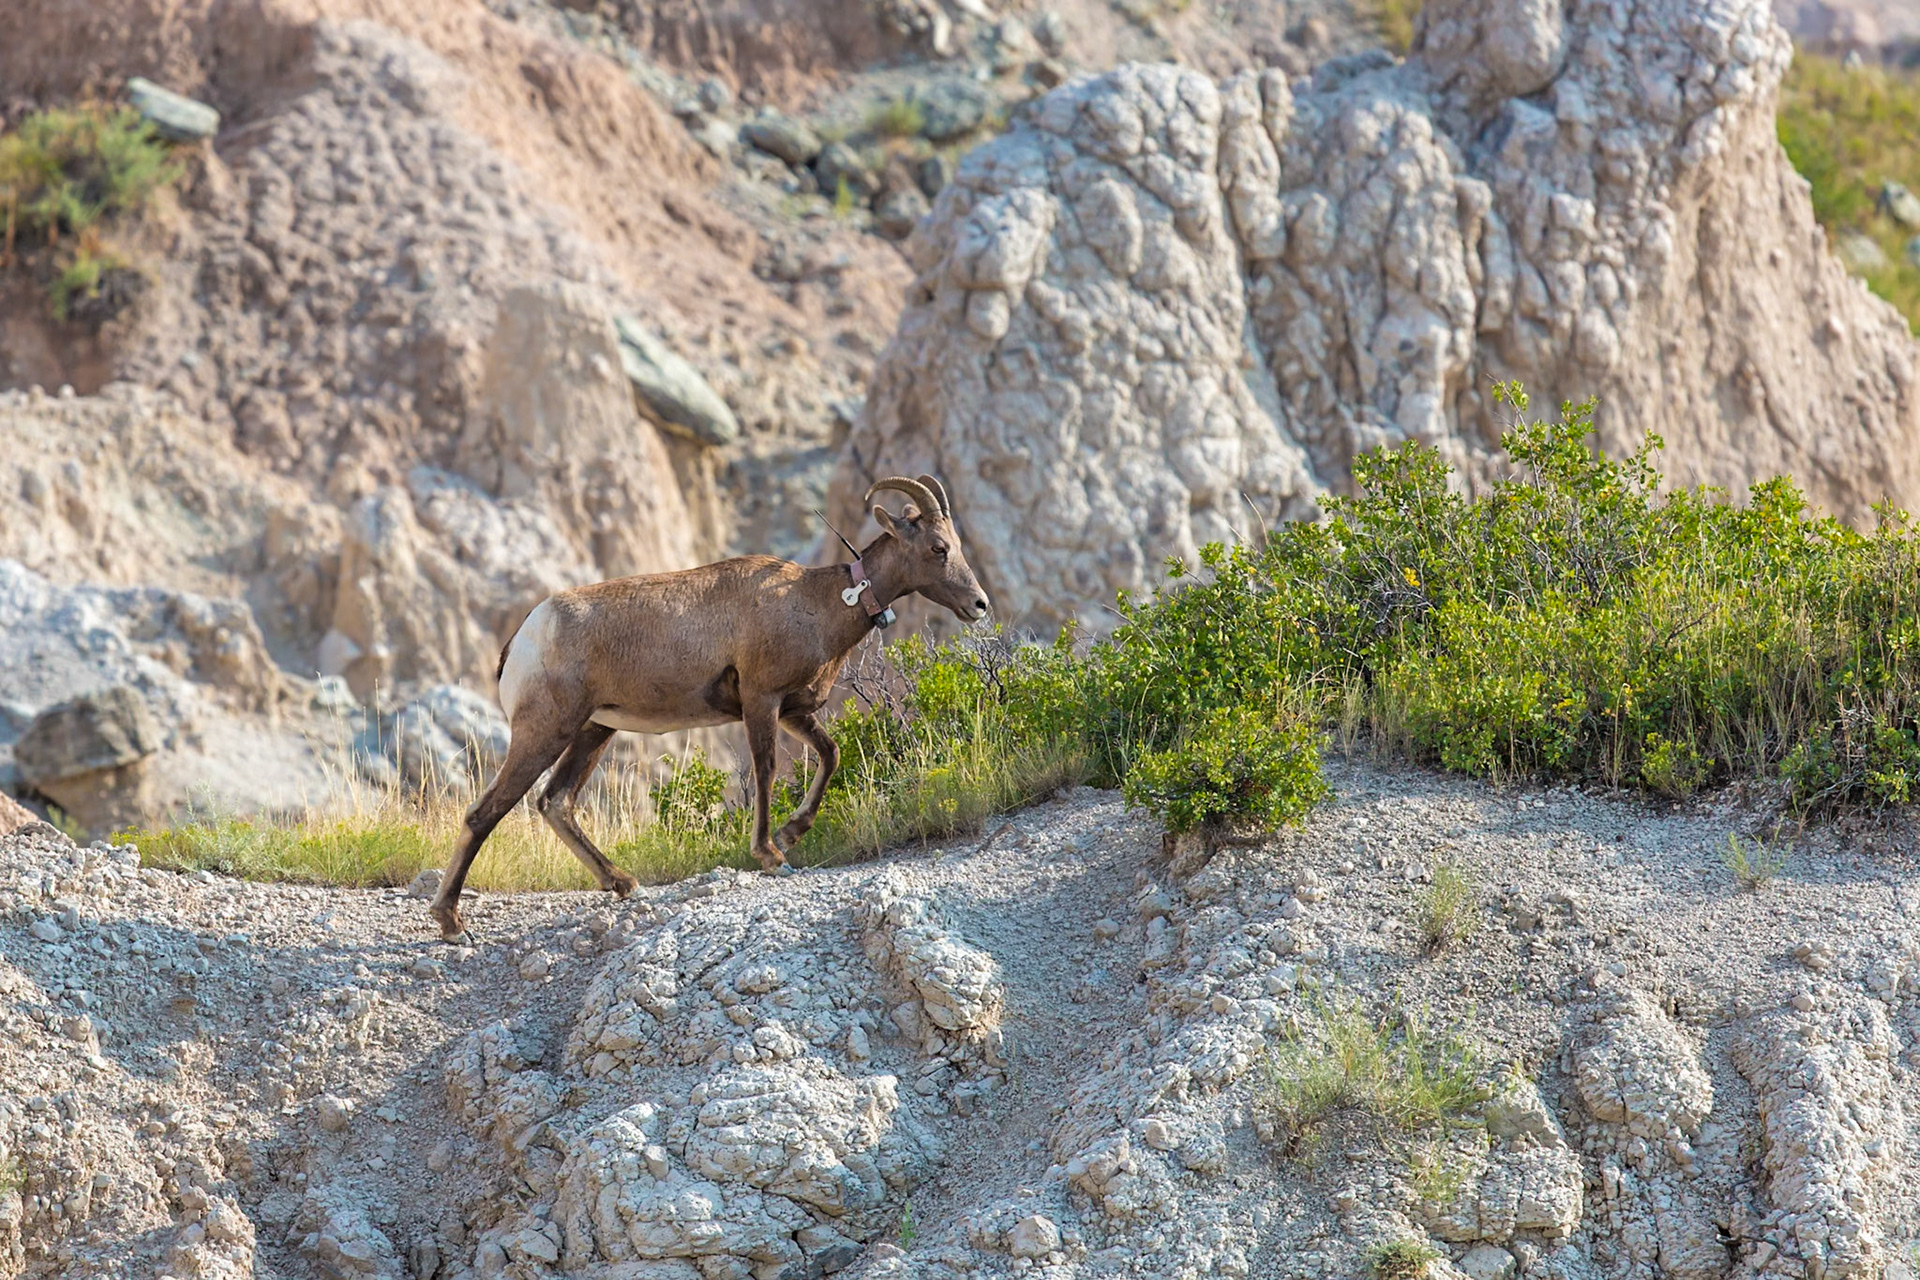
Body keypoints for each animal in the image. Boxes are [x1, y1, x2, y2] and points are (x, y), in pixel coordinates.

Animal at [428, 475, 988, 941]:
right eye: (938, 548)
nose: (980, 605)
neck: (820, 602)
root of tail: (525, 636)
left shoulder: (794, 711)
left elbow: (830, 756)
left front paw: (791, 833)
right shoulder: (761, 701)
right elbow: (765, 769)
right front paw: (771, 855)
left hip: (593, 731)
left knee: (556, 802)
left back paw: (624, 884)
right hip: (546, 731)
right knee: (486, 812)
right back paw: (452, 925)